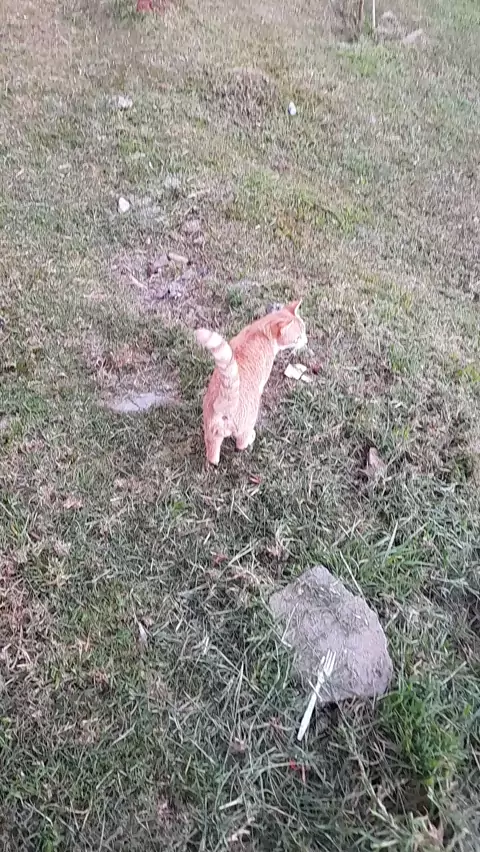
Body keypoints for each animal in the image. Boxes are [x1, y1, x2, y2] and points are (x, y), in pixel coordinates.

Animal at [196, 300, 307, 465]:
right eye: (298, 337)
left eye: (304, 330)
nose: (306, 340)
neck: (261, 330)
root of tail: (225, 402)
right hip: (248, 420)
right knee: (240, 444)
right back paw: (250, 439)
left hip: (210, 434)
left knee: (213, 458)